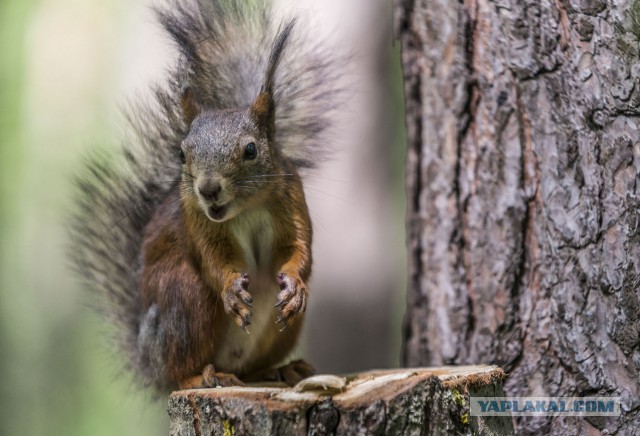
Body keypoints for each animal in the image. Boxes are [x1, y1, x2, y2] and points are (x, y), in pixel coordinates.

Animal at [69, 0, 340, 392]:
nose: (208, 189)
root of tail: (150, 365)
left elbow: (298, 248)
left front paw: (295, 285)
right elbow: (213, 258)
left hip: (280, 334)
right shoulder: (195, 217)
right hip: (185, 302)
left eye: (251, 150)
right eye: (182, 154)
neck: (246, 209)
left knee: (252, 366)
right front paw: (230, 288)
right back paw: (202, 375)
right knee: (181, 369)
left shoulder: (290, 198)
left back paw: (282, 369)